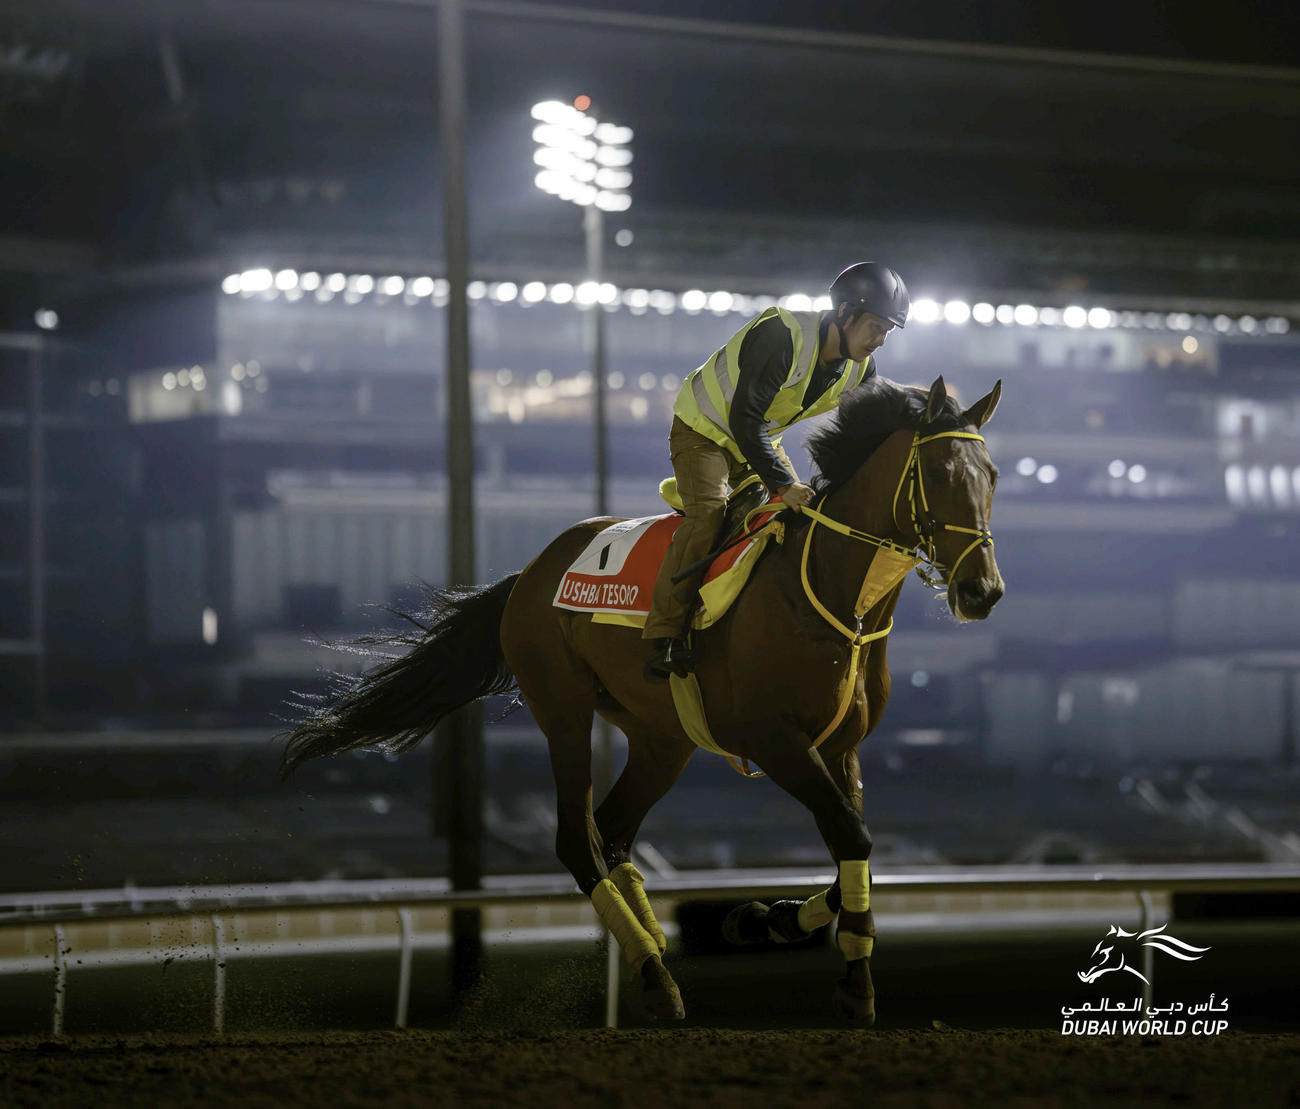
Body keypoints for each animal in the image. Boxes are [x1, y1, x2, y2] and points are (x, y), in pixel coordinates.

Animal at [278, 374, 1004, 1026]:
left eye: (992, 474)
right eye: (941, 470)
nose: (982, 591)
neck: (828, 594)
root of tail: (530, 572)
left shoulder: (841, 746)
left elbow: (858, 849)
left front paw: (762, 923)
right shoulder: (776, 740)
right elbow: (851, 835)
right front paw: (845, 982)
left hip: (663, 737)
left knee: (616, 832)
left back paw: (653, 956)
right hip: (564, 711)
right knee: (581, 838)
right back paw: (655, 975)